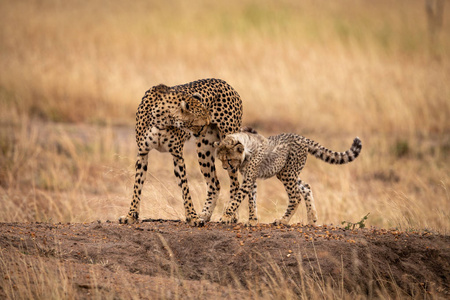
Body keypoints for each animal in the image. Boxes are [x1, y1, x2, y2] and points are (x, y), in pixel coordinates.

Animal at [118, 78, 241, 226]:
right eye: (202, 125)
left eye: (207, 122)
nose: (206, 131)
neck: (162, 120)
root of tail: (224, 82)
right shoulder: (142, 153)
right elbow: (137, 185)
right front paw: (130, 215)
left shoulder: (177, 155)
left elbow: (185, 188)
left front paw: (192, 217)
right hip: (203, 150)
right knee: (214, 184)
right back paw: (205, 214)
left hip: (228, 145)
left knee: (235, 183)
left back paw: (230, 215)